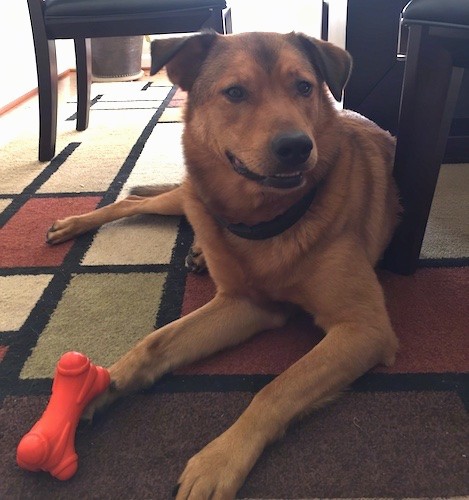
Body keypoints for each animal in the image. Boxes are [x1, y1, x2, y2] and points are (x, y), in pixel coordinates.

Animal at [46, 32, 398, 500]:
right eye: (235, 92)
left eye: (304, 87)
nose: (296, 146)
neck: (262, 222)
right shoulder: (243, 302)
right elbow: (153, 344)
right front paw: (101, 385)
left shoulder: (363, 328)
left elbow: (276, 388)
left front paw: (220, 460)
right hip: (189, 195)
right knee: (131, 203)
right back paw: (76, 224)